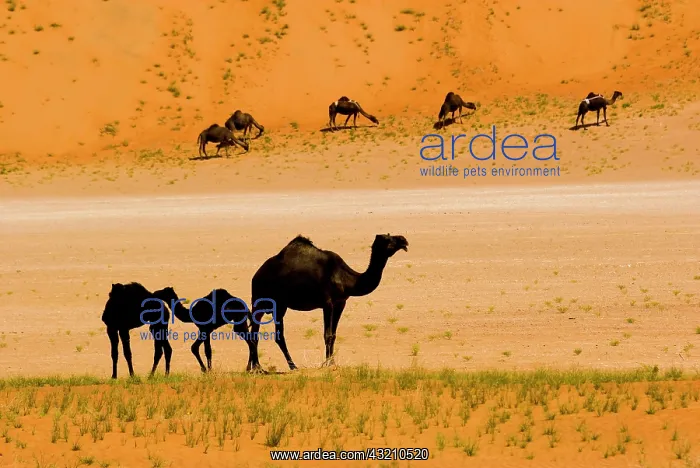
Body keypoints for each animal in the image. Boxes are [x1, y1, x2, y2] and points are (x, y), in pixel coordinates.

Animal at [246, 233, 409, 372]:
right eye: (388, 239)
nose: (404, 240)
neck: (345, 278)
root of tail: (256, 276)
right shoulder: (327, 302)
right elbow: (327, 334)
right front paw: (328, 364)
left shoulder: (340, 303)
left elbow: (334, 335)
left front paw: (333, 362)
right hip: (262, 301)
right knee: (261, 334)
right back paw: (273, 367)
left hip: (280, 306)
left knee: (257, 333)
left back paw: (252, 367)